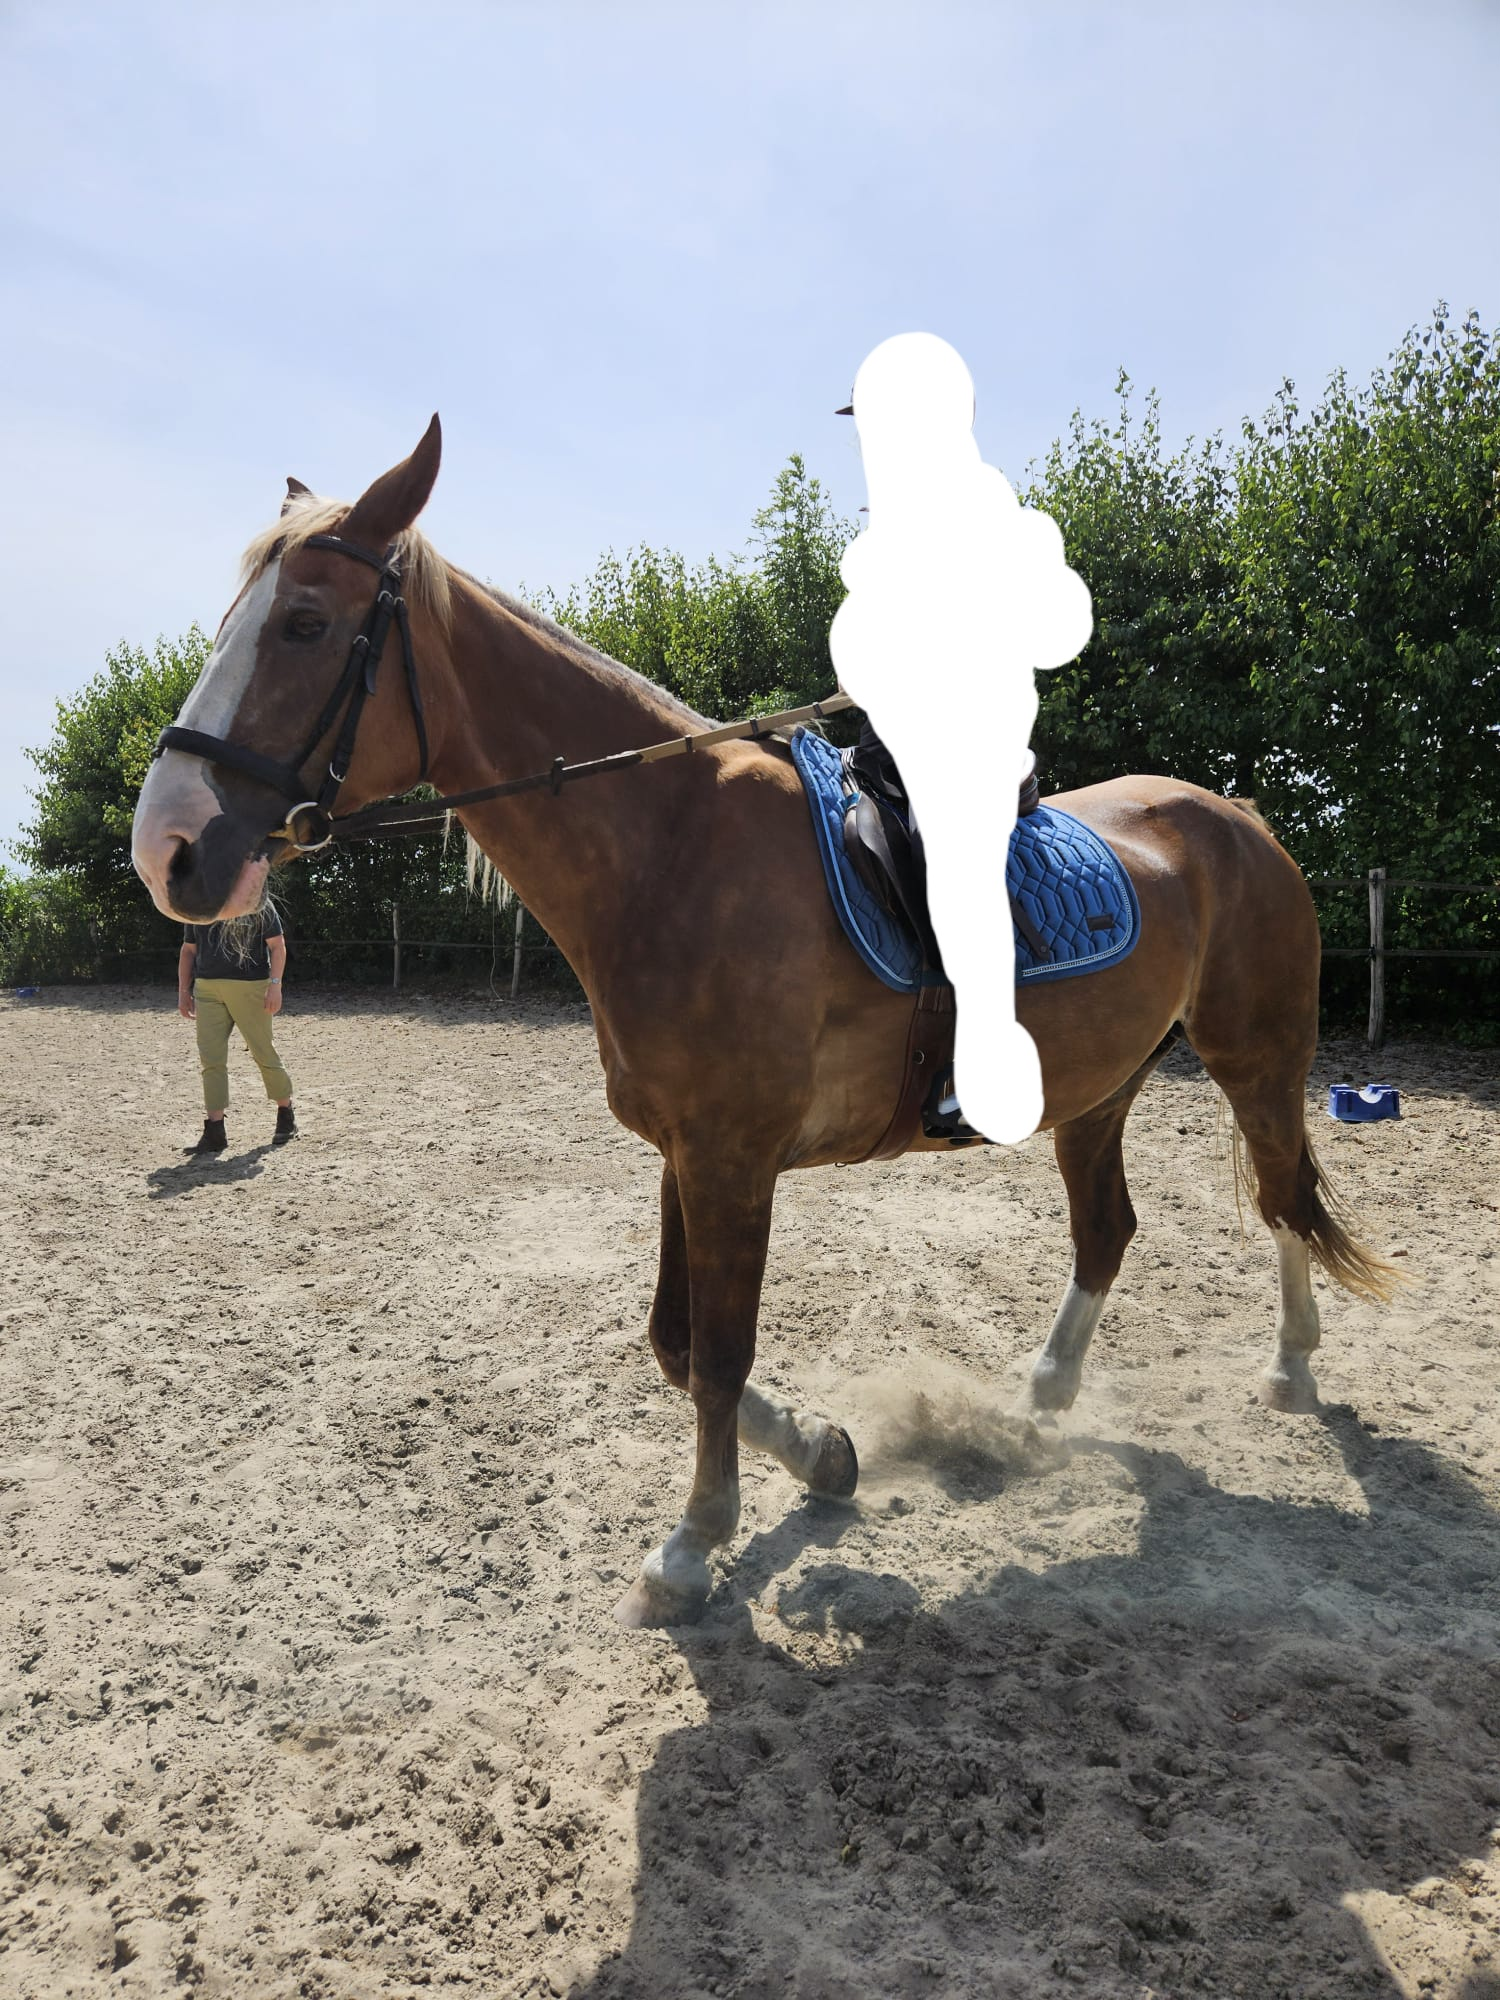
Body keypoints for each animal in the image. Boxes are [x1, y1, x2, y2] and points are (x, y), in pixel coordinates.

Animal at [131, 416, 1395, 1627]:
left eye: (304, 624)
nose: (169, 849)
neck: (667, 845)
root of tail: (1235, 813)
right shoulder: (684, 1152)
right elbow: (681, 1343)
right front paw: (823, 1457)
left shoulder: (735, 1158)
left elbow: (721, 1351)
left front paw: (691, 1547)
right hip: (1098, 1087)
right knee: (1110, 1230)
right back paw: (1042, 1400)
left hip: (1255, 1056)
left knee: (1282, 1194)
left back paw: (1289, 1371)